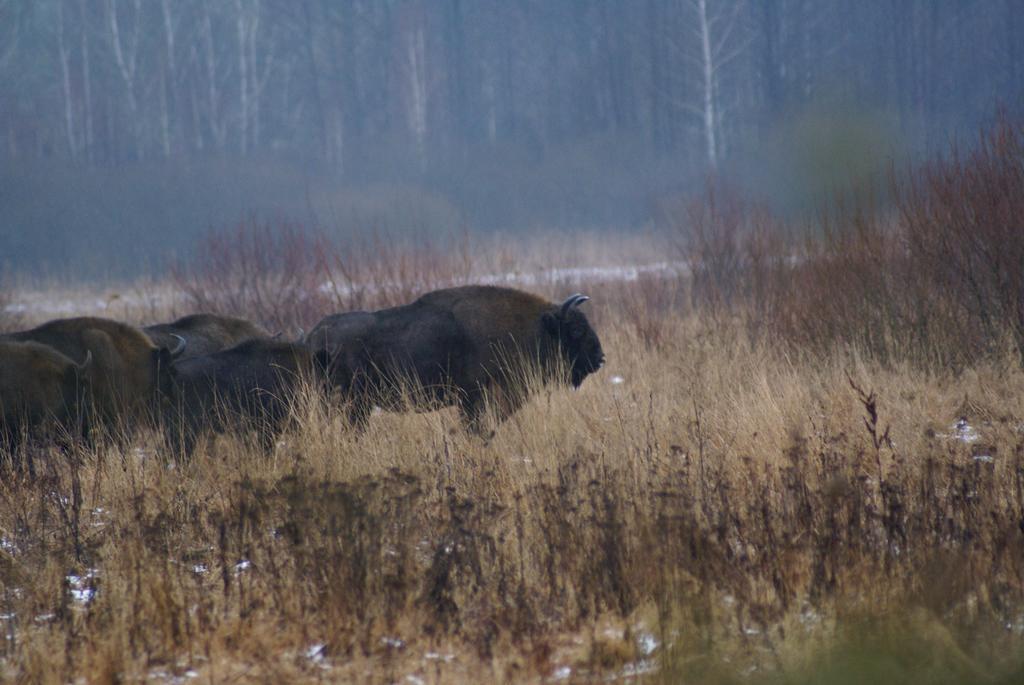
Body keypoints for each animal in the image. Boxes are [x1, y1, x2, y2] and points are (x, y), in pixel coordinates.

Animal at [307, 286, 602, 430]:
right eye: (576, 329)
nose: (600, 358)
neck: (535, 327)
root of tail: (313, 335)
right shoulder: (476, 401)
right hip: (350, 405)